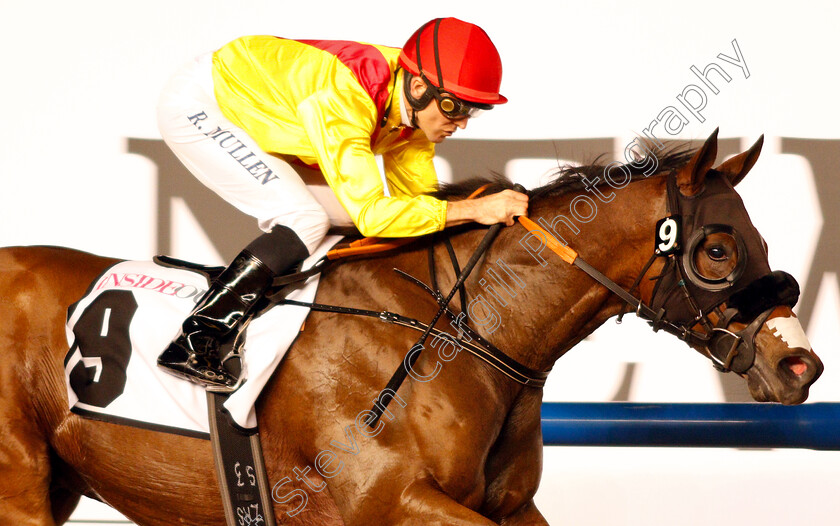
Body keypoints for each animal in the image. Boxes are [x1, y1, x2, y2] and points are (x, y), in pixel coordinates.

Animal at [0, 130, 824, 524]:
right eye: (717, 249)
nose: (801, 364)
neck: (461, 334)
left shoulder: (510, 507)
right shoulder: (390, 501)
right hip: (20, 484)